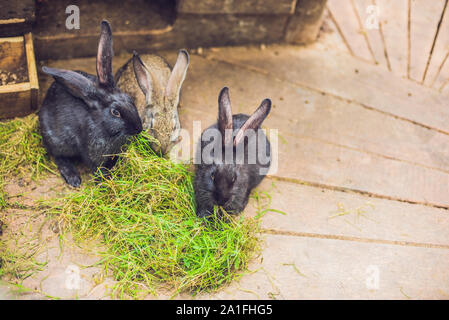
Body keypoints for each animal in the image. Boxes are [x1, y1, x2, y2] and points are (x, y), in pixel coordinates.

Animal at [40, 20, 143, 188]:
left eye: (130, 99)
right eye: (115, 112)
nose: (138, 128)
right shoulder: (90, 151)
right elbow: (96, 166)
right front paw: (105, 180)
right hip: (56, 140)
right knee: (58, 156)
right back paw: (73, 178)